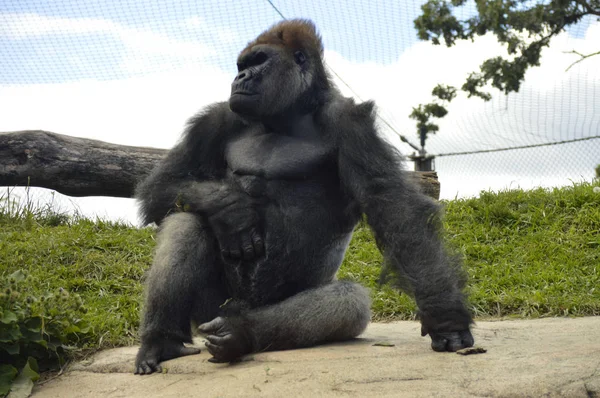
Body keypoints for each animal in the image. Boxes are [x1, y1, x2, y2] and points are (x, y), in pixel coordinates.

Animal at [135, 17, 474, 374]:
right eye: (242, 65)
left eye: (259, 61)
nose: (239, 78)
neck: (289, 113)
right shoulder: (215, 119)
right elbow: (162, 184)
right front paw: (228, 208)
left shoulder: (350, 121)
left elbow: (393, 207)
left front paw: (446, 318)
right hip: (209, 312)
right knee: (185, 220)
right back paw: (163, 340)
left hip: (237, 311)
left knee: (349, 301)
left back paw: (240, 333)